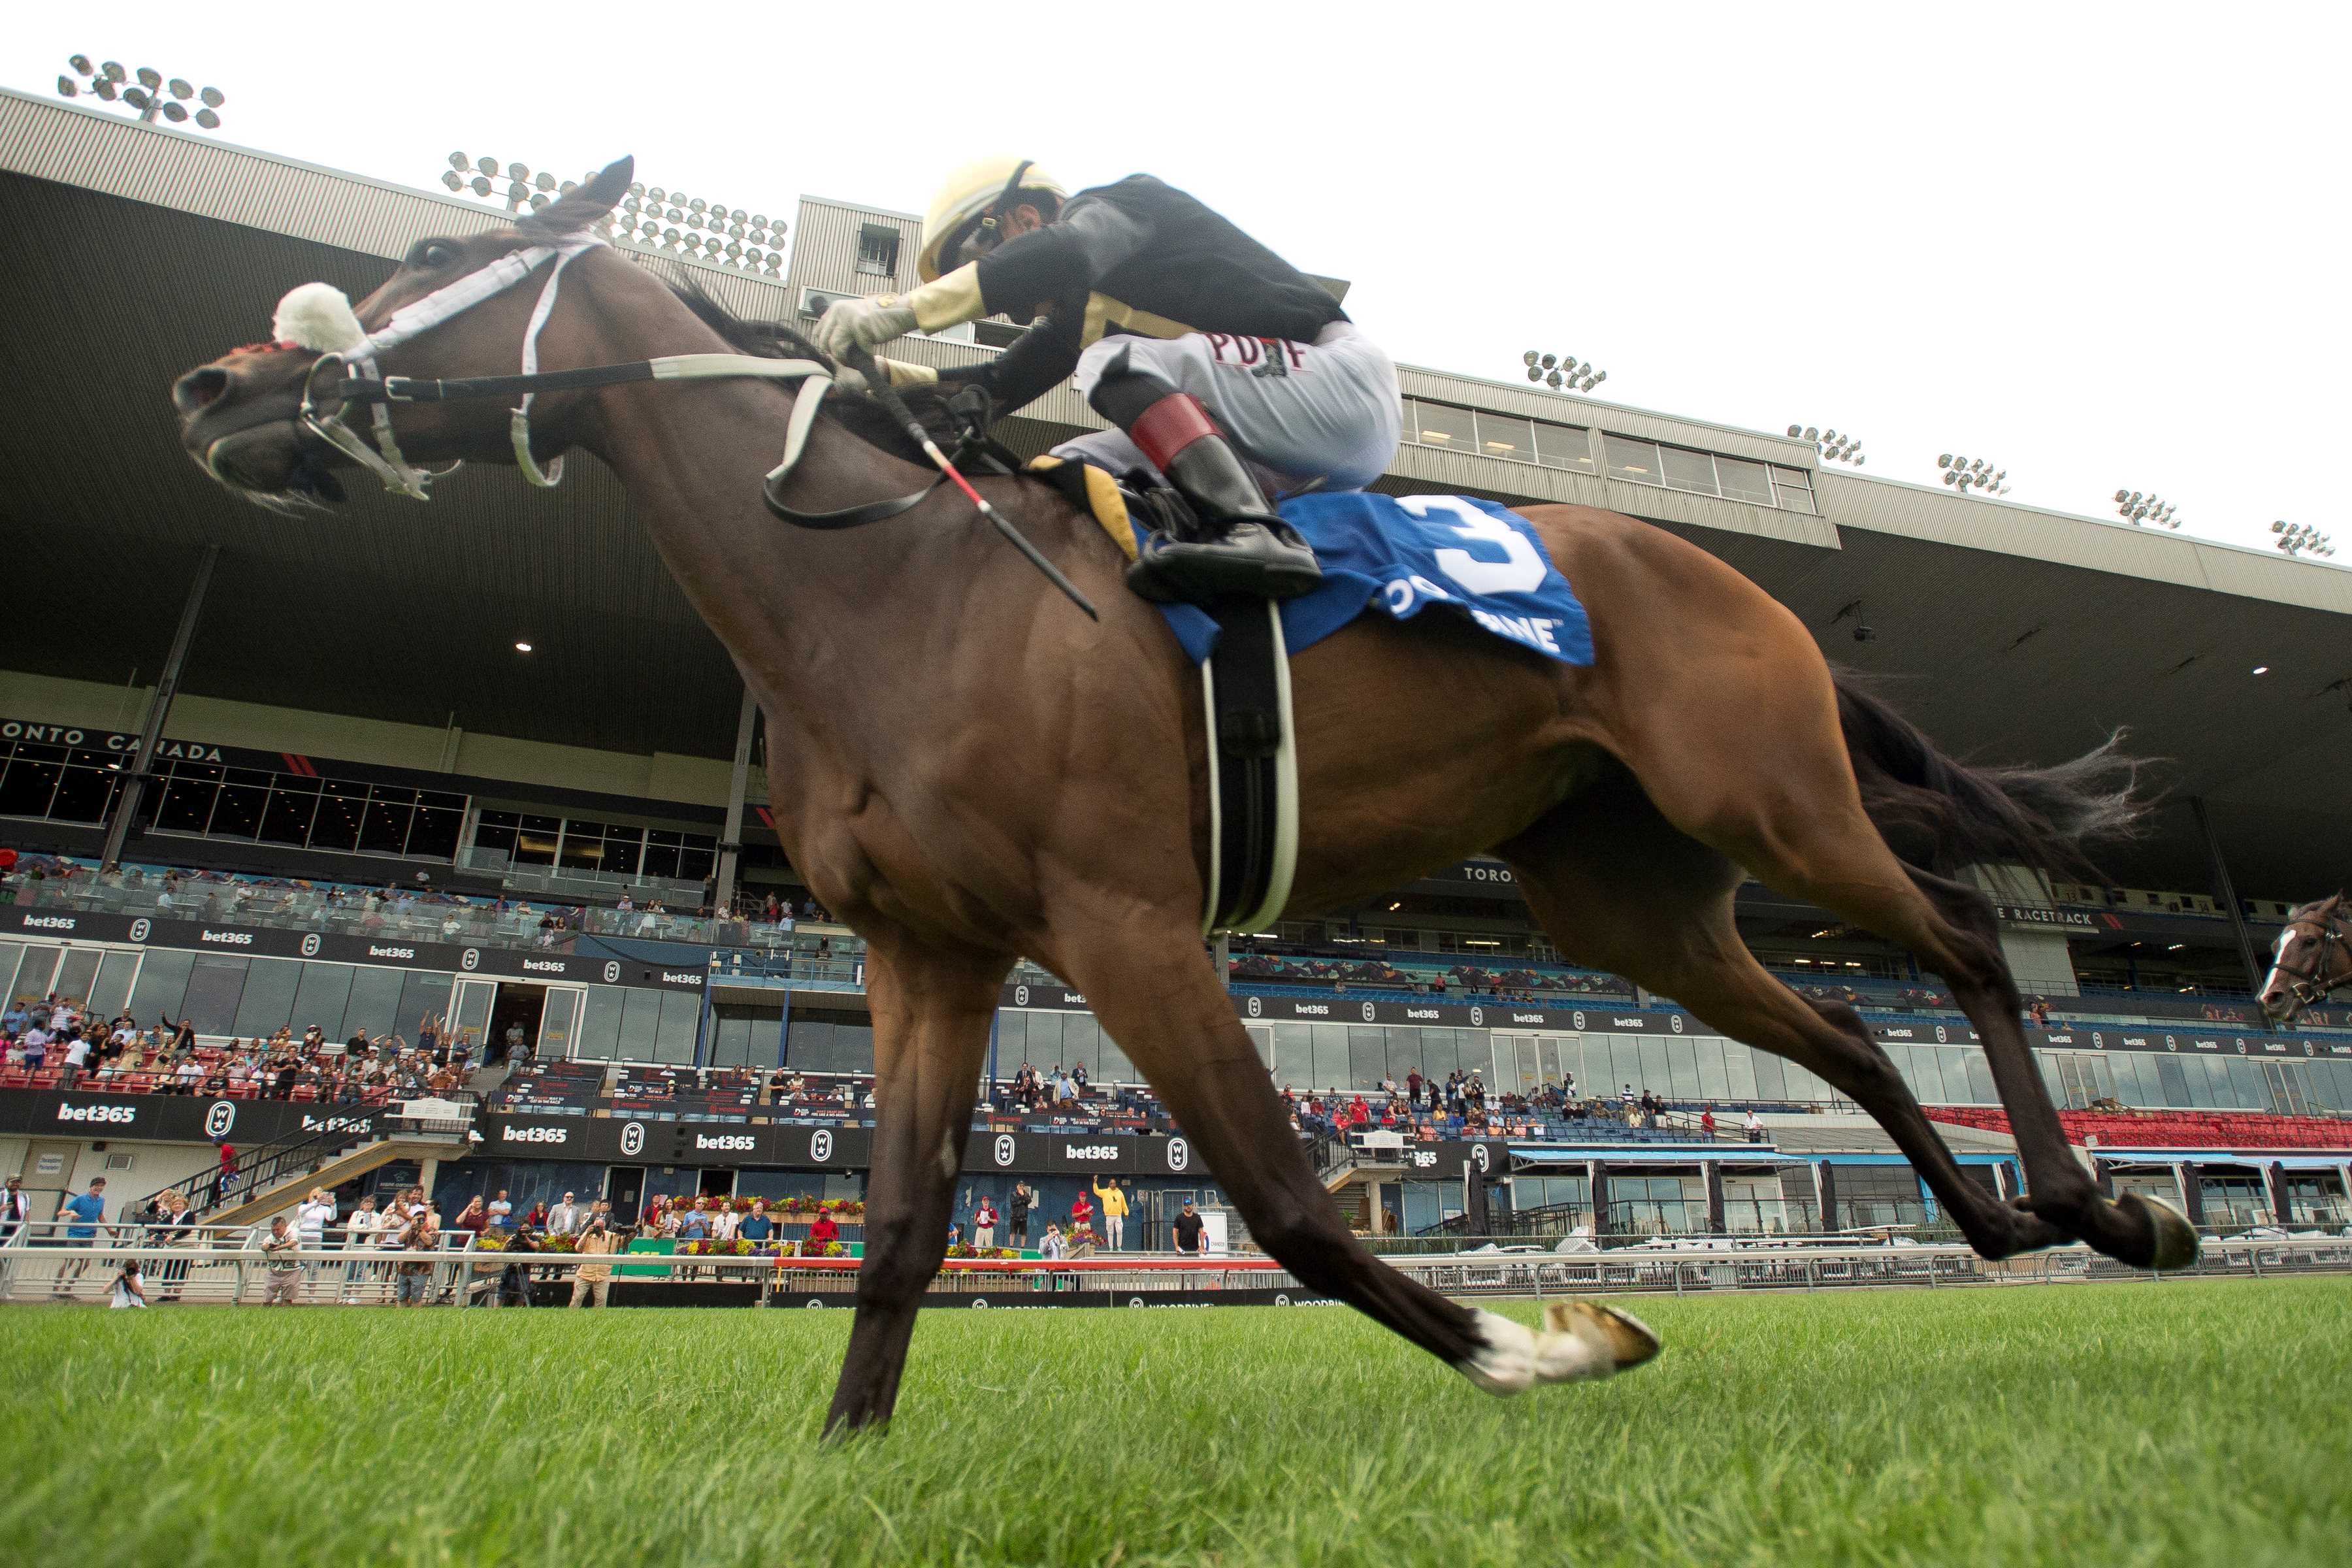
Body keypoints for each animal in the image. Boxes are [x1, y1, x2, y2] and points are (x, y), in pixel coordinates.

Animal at [174, 162, 2192, 1439]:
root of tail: (1744, 580)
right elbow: (898, 1226)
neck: (891, 581)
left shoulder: (1127, 922)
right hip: (1625, 895)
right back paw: (2022, 1223)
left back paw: (2106, 1203)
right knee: (1845, 1030)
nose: (211, 380)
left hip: (1775, 798)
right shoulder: (929, 954)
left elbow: (1290, 1203)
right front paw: (840, 1458)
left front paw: (1548, 1343)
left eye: (434, 252)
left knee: (1958, 944)